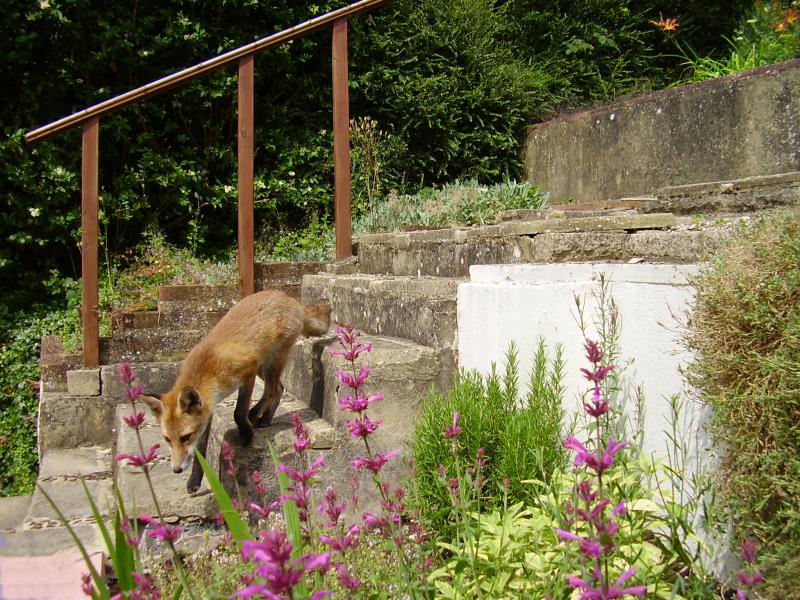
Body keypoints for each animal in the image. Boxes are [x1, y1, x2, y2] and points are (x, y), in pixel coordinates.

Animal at [141, 290, 332, 492]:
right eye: (167, 439)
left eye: (185, 437)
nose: (176, 469)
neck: (208, 370)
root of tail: (287, 297)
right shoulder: (208, 407)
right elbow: (201, 449)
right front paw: (194, 480)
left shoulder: (246, 373)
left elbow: (238, 413)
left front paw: (246, 435)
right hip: (264, 366)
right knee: (279, 389)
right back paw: (265, 419)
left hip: (271, 361)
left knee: (272, 391)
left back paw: (255, 415)